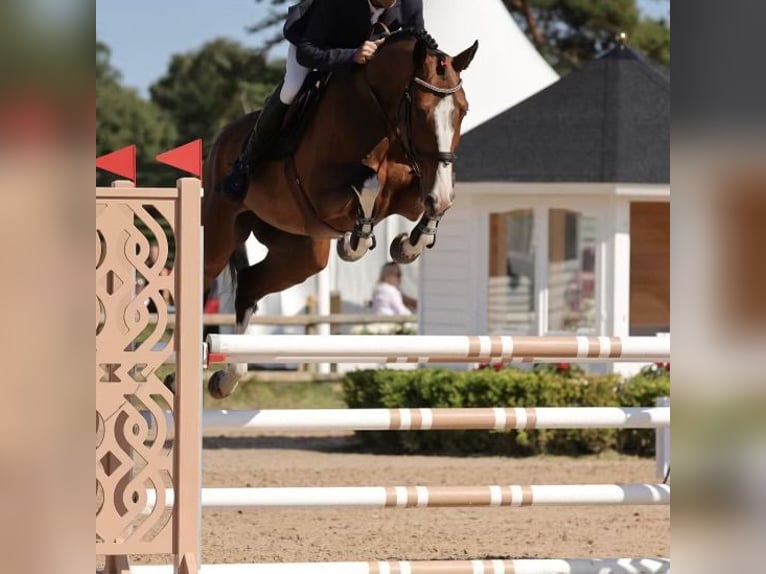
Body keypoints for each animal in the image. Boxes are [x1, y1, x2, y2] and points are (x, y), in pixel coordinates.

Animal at [201, 29, 476, 398]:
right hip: (219, 234)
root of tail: (220, 140)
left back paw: (227, 378)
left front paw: (407, 245)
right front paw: (355, 243)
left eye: (463, 110)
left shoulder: (413, 188)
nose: (441, 191)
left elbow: (428, 200)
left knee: (249, 284)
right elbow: (369, 182)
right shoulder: (322, 193)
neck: (378, 115)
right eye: (420, 112)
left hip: (302, 253)